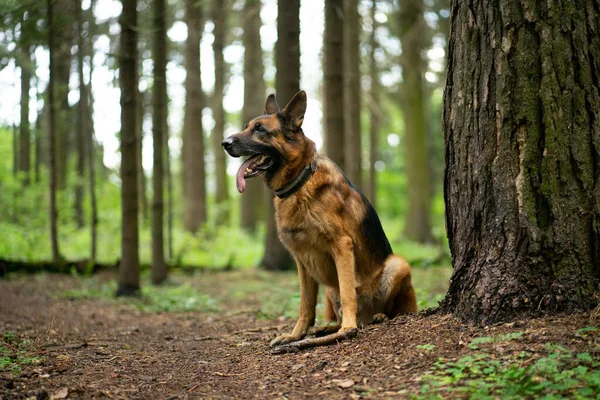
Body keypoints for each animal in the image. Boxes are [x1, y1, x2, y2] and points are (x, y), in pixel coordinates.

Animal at [221, 90, 418, 350]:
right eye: (247, 127)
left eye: (260, 129)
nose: (224, 143)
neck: (300, 183)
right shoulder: (302, 260)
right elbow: (305, 304)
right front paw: (295, 335)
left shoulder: (342, 246)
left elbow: (348, 294)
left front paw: (347, 329)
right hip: (328, 287)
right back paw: (328, 327)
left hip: (397, 265)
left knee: (392, 311)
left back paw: (376, 317)